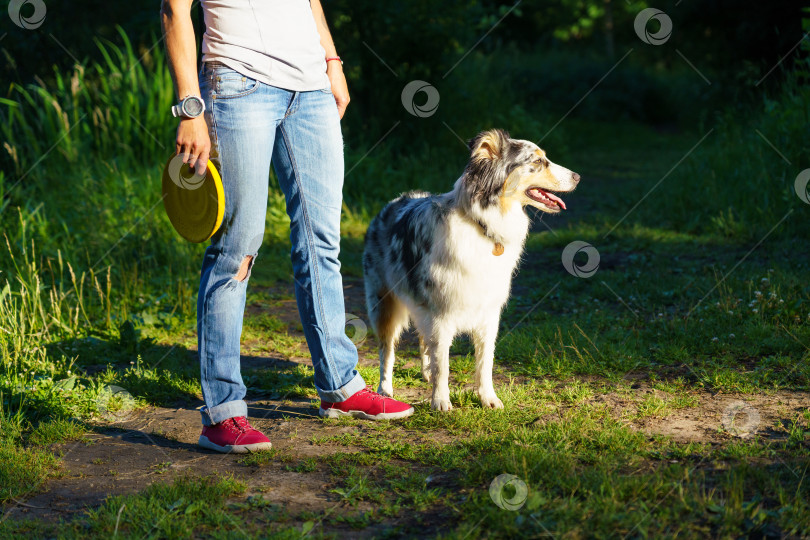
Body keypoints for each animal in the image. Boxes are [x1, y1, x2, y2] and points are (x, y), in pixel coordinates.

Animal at [362, 130, 580, 410]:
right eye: (538, 161)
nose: (578, 177)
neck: (482, 223)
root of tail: (394, 202)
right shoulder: (440, 312)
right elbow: (443, 363)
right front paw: (440, 401)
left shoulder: (488, 312)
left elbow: (485, 361)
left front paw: (488, 398)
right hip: (383, 303)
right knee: (386, 350)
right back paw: (385, 390)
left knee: (422, 339)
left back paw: (425, 372)